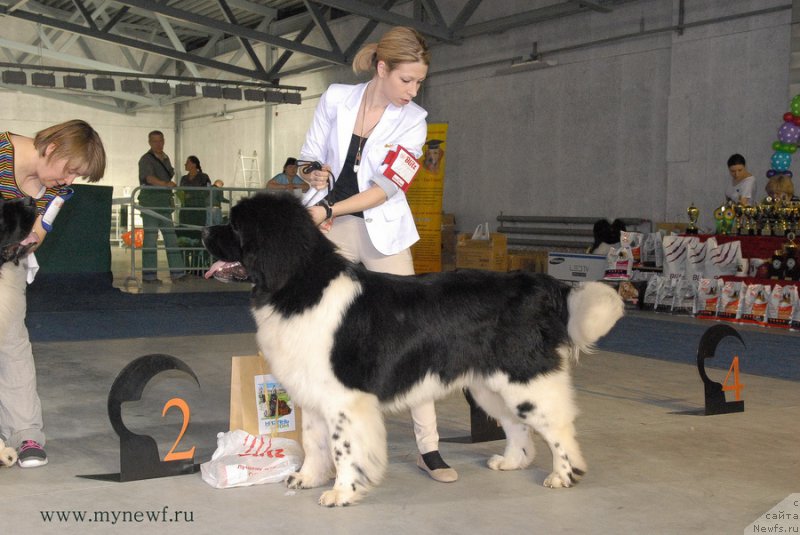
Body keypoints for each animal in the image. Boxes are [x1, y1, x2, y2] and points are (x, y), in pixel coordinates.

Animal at [202, 193, 624, 506]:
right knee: (517, 425)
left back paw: (564, 475)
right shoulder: (314, 391)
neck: (300, 285)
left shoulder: (345, 399)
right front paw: (307, 478)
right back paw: (510, 463)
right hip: (489, 385)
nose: (204, 230)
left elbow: (343, 448)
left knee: (557, 426)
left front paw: (341, 492)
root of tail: (537, 283)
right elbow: (315, 441)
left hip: (525, 379)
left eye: (236, 226)